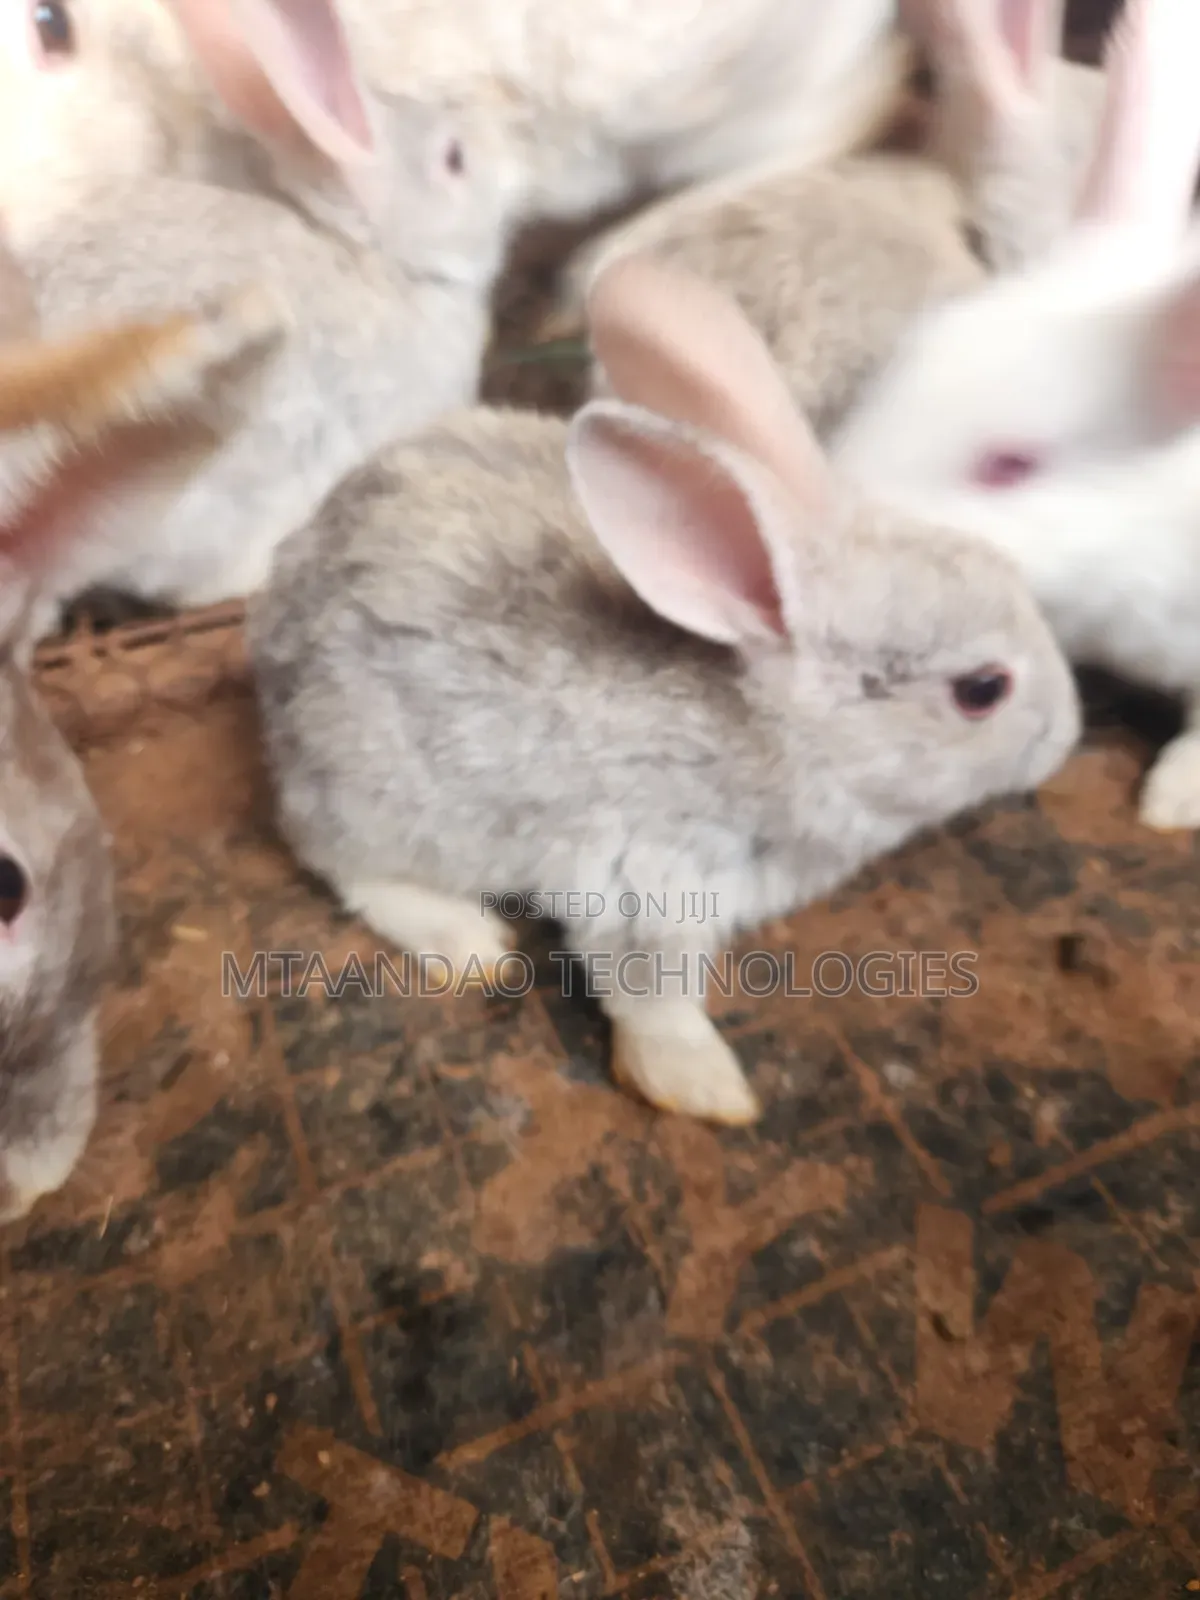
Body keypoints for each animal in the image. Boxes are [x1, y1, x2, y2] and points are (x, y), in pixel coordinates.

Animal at [246, 253, 1081, 1126]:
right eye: (982, 690)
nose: (1067, 735)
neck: (770, 735)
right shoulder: (645, 890)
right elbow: (651, 997)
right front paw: (707, 1089)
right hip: (378, 791)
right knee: (338, 859)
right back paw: (468, 944)